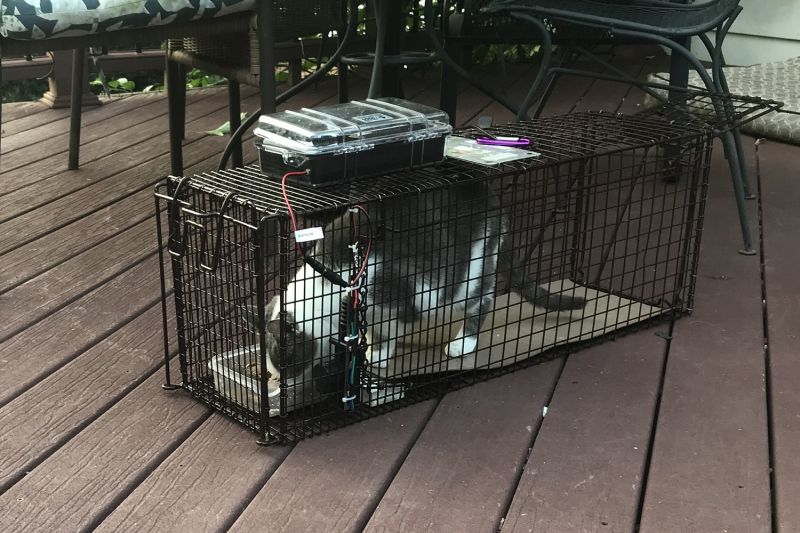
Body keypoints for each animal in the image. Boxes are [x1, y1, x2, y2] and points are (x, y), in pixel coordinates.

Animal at [241, 181, 584, 384]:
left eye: (285, 362)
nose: (280, 382)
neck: (332, 281)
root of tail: (495, 200)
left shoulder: (400, 296)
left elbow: (389, 330)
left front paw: (378, 354)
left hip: (469, 273)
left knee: (482, 300)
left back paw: (463, 342)